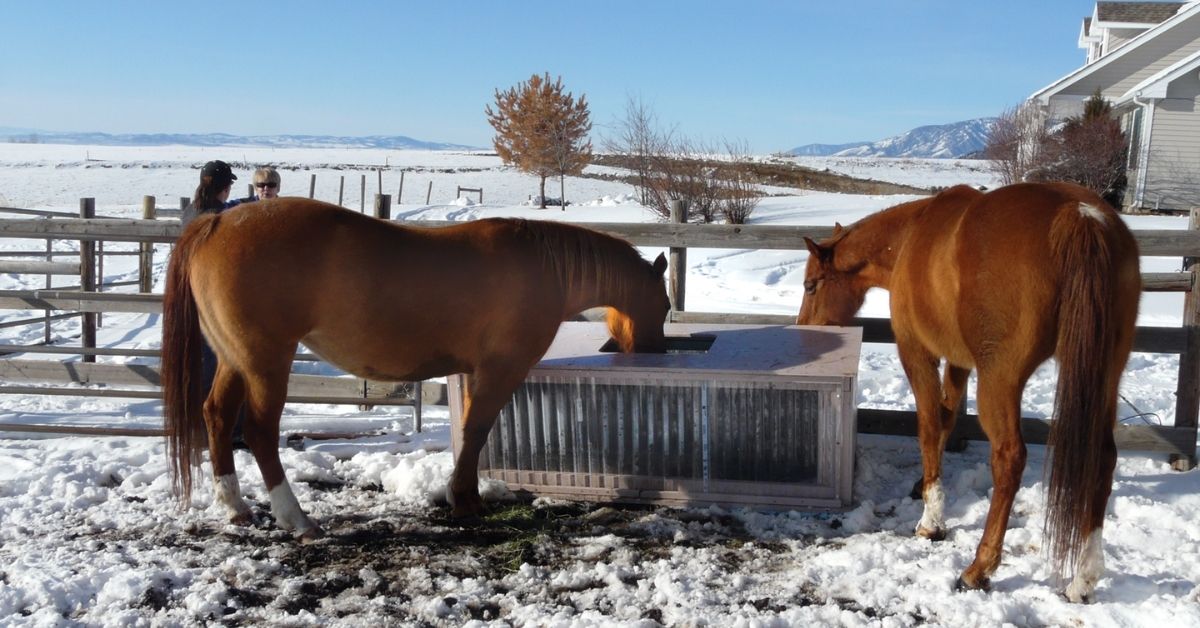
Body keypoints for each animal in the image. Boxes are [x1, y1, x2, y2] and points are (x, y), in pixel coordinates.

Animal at [160, 200, 672, 540]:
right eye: (665, 305)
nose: (655, 351)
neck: (542, 269)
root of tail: (216, 222)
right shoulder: (500, 369)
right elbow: (478, 429)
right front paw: (464, 500)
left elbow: (468, 432)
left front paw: (463, 495)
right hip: (266, 361)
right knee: (261, 432)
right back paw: (297, 520)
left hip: (234, 359)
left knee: (217, 417)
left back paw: (235, 508)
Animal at [796, 181, 1142, 600]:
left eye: (811, 286)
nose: (804, 332)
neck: (909, 236)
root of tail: (1078, 215)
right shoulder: (958, 360)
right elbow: (947, 419)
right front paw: (924, 486)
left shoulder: (917, 351)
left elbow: (929, 425)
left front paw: (931, 522)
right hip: (1106, 374)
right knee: (1103, 458)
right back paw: (1084, 578)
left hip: (1000, 380)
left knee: (1009, 458)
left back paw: (978, 569)